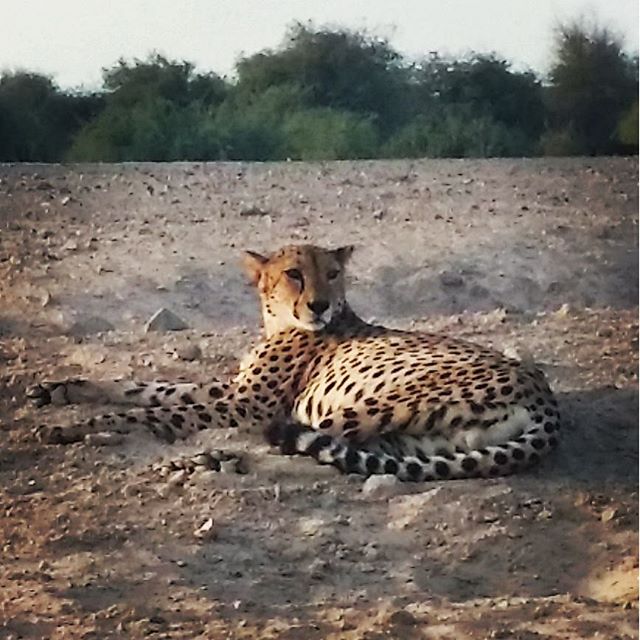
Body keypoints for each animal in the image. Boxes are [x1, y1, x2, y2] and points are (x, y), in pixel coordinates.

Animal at [28, 244, 560, 480]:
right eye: (294, 274)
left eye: (333, 273)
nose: (321, 305)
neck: (281, 321)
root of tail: (544, 395)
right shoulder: (231, 391)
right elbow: (147, 389)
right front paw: (61, 390)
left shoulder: (247, 405)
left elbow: (155, 411)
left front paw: (77, 426)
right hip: (419, 438)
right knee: (346, 454)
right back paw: (215, 457)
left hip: (379, 402)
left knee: (293, 443)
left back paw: (210, 458)